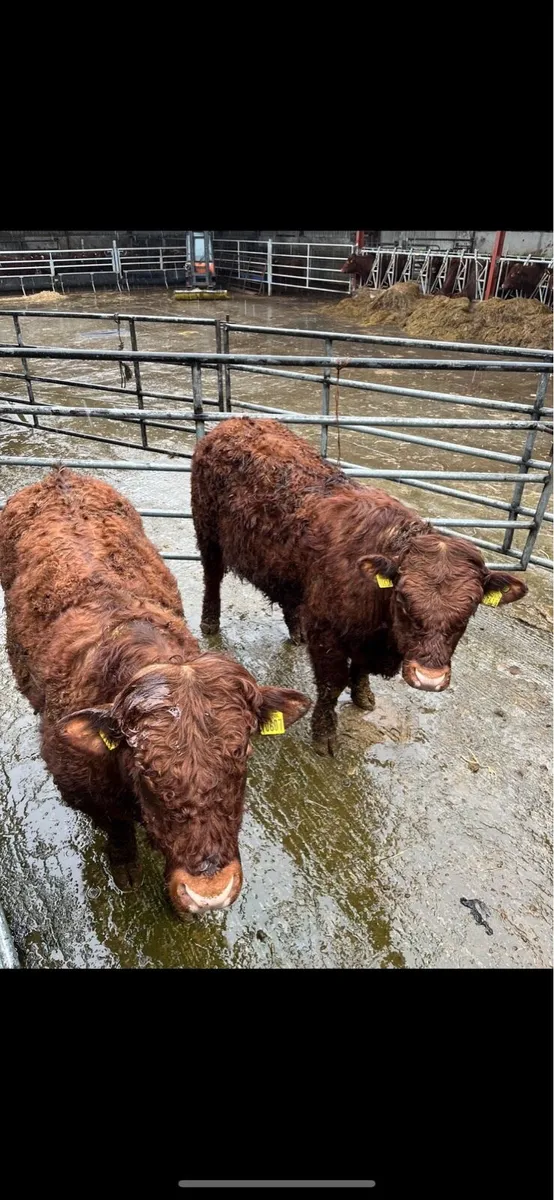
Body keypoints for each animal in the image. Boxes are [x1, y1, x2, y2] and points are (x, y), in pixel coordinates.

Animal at [0, 470, 310, 913]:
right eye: (145, 766)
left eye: (242, 752)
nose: (209, 892)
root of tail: (61, 475)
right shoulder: (83, 791)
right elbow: (117, 828)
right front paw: (126, 869)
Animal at [191, 419, 528, 756]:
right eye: (403, 599)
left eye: (470, 609)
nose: (428, 679)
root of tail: (233, 422)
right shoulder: (327, 634)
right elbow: (331, 685)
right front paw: (324, 735)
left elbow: (361, 672)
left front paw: (363, 696)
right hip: (207, 533)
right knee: (212, 578)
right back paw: (210, 622)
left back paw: (297, 632)